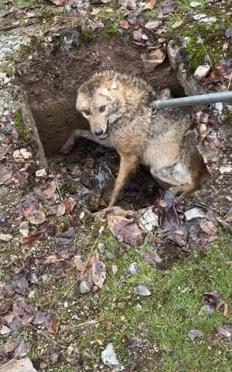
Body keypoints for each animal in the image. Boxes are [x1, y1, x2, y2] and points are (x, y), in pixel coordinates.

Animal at [61, 71, 207, 208]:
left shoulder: (128, 157)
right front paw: (67, 146)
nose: (98, 132)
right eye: (86, 112)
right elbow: (77, 131)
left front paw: (108, 208)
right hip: (157, 171)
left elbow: (117, 186)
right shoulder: (111, 141)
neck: (126, 109)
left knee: (195, 185)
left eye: (102, 108)